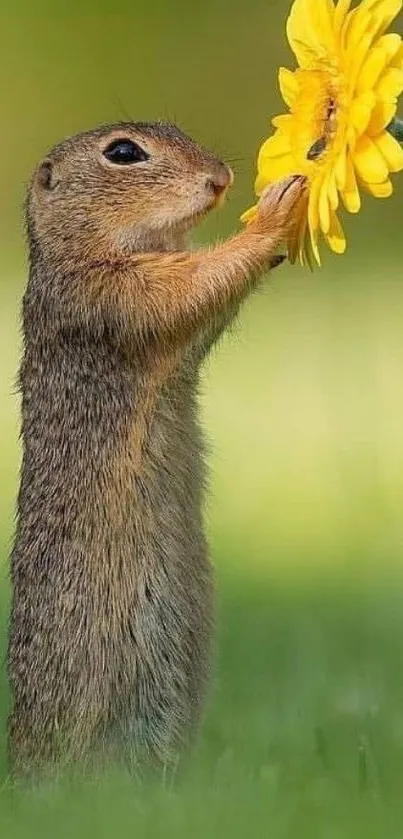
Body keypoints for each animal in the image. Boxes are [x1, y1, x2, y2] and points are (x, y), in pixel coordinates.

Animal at [7, 121, 306, 776]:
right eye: (124, 152)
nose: (220, 177)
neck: (78, 251)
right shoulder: (112, 294)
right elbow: (191, 285)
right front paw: (274, 213)